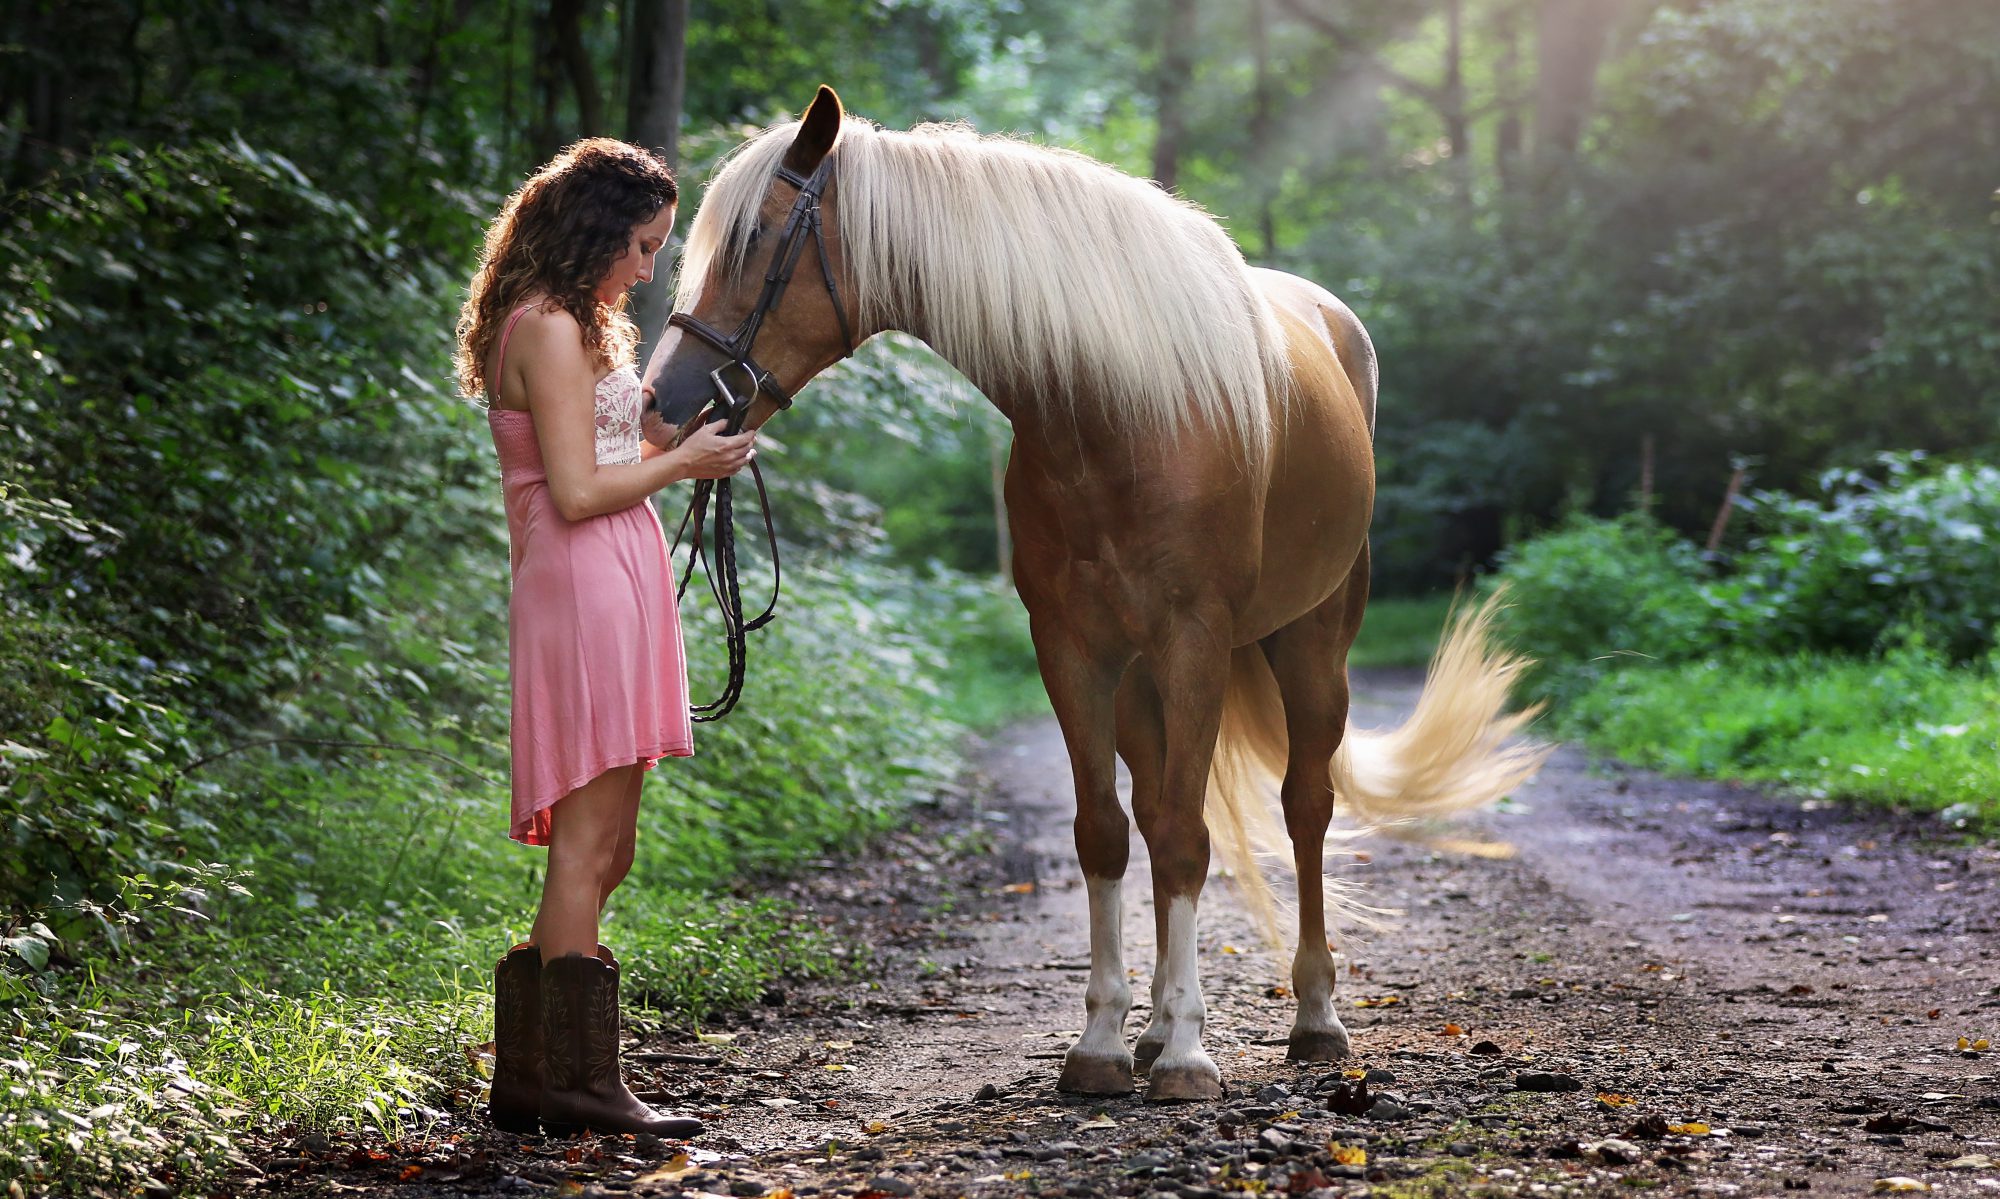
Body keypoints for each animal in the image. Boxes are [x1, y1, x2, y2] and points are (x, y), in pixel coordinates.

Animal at [643, 86, 1547, 1101]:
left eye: (757, 237)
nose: (660, 402)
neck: (1116, 413)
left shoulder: (1194, 641)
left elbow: (1190, 836)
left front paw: (1190, 1055)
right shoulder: (1073, 649)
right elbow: (1107, 834)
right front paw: (1108, 1042)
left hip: (1312, 645)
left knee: (1304, 806)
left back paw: (1314, 1017)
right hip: (1143, 680)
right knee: (1154, 810)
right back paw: (1154, 1026)